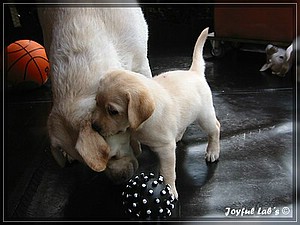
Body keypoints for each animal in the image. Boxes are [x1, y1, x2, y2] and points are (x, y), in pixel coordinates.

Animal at [91, 28, 220, 199]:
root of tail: (194, 73)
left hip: (205, 116)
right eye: (96, 103)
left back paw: (213, 151)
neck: (142, 123)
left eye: (113, 111)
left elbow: (167, 171)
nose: (94, 127)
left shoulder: (165, 149)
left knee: (215, 128)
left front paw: (170, 190)